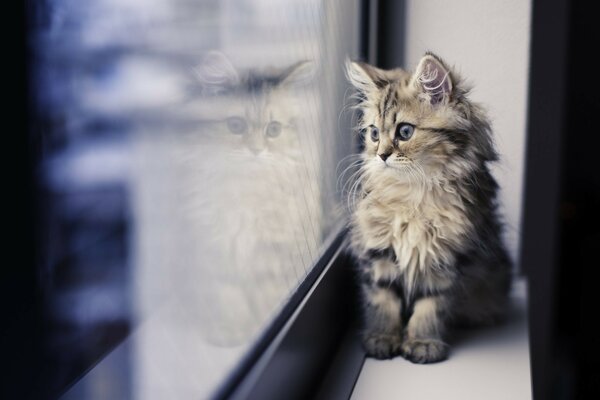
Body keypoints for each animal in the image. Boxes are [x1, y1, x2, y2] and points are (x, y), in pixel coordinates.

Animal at [346, 52, 510, 362]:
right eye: (374, 134)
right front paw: (382, 338)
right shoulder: (379, 252)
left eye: (404, 131)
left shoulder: (447, 256)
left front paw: (423, 343)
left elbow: (431, 307)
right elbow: (383, 302)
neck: (414, 195)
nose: (381, 155)